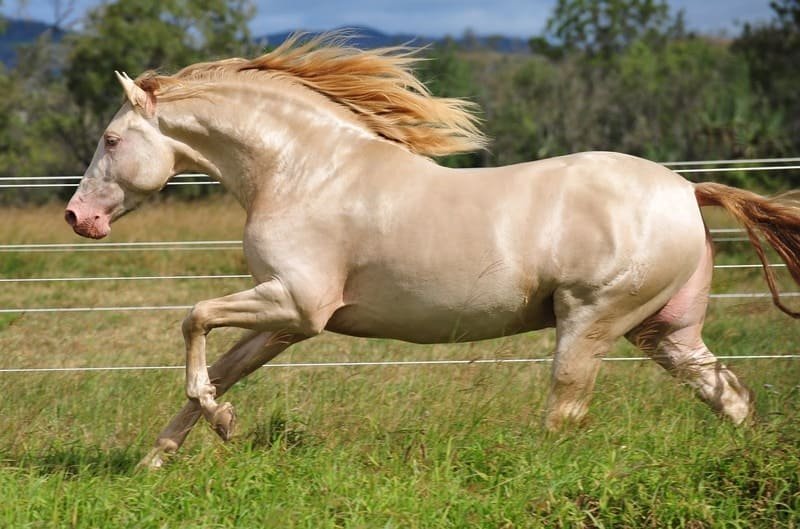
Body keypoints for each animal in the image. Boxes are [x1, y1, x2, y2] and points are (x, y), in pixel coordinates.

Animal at [64, 35, 800, 468]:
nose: (78, 216)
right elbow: (221, 367)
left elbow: (193, 319)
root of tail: (687, 189)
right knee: (731, 397)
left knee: (565, 414)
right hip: (665, 332)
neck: (304, 169)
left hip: (590, 322)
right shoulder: (285, 321)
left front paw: (216, 425)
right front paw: (166, 455)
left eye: (110, 138)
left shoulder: (297, 305)